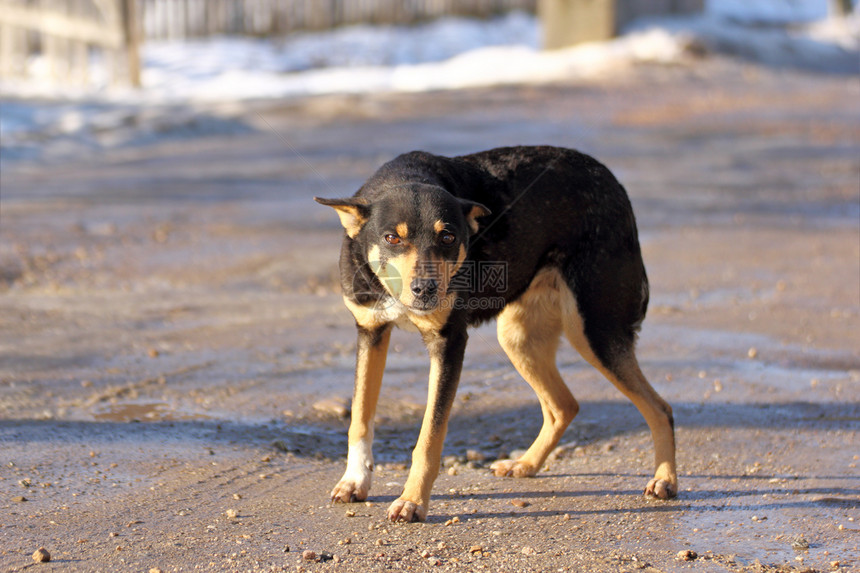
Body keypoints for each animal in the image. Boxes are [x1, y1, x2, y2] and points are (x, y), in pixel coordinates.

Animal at [312, 145, 676, 520]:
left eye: (448, 237)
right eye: (391, 238)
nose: (426, 290)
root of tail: (612, 182)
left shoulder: (449, 343)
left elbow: (429, 436)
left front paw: (412, 501)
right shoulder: (370, 332)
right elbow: (360, 416)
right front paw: (354, 481)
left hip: (593, 331)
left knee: (659, 408)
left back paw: (664, 481)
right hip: (518, 337)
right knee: (565, 406)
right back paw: (525, 464)